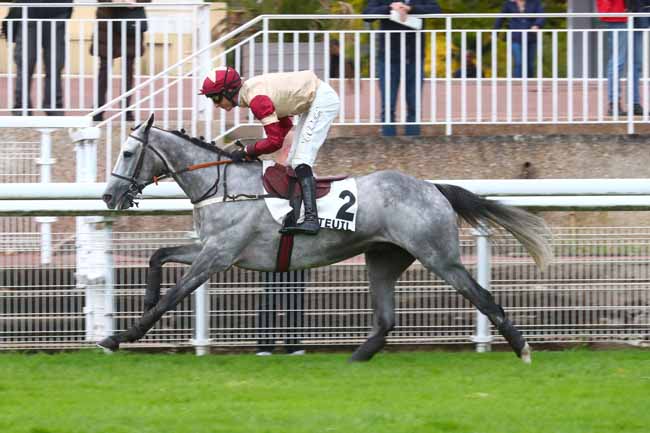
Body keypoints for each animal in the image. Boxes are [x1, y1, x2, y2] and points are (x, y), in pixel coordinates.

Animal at [98, 115, 548, 362]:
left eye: (126, 153)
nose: (108, 196)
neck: (222, 184)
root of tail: (431, 187)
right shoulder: (210, 247)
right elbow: (158, 255)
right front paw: (144, 300)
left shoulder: (219, 254)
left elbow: (176, 295)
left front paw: (121, 336)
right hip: (383, 258)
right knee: (386, 319)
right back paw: (355, 359)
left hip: (439, 256)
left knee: (483, 297)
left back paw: (522, 348)